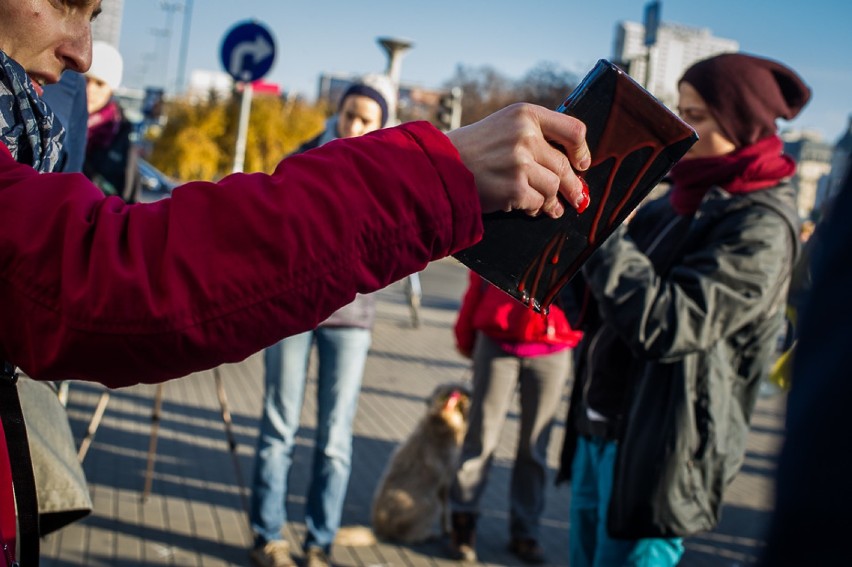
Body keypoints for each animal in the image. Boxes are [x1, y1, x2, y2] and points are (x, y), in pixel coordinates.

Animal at [370, 384, 470, 544]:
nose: (467, 392)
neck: (440, 420)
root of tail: (381, 531)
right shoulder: (446, 479)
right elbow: (446, 507)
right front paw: (447, 528)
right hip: (432, 504)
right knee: (409, 536)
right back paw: (429, 535)